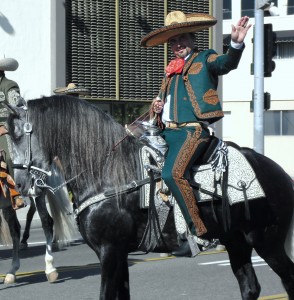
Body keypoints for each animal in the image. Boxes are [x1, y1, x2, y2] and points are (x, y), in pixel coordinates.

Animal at [5, 95, 294, 300]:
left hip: (267, 241)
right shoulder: (119, 253)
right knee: (250, 287)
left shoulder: (109, 252)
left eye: (18, 135)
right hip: (236, 241)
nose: (18, 184)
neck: (108, 174)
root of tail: (281, 173)